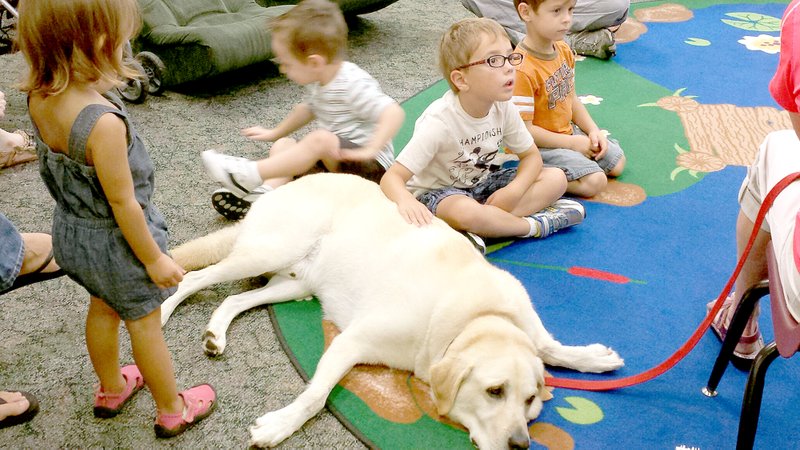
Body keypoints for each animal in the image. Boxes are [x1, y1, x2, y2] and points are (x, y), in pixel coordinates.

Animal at [161, 173, 624, 450]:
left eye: (529, 399)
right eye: (495, 391)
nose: (521, 444)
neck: (474, 317)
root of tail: (281, 187)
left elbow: (551, 347)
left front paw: (594, 358)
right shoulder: (351, 341)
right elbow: (314, 396)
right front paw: (279, 426)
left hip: (298, 282)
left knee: (235, 299)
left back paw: (215, 334)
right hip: (267, 251)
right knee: (194, 278)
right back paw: (163, 313)